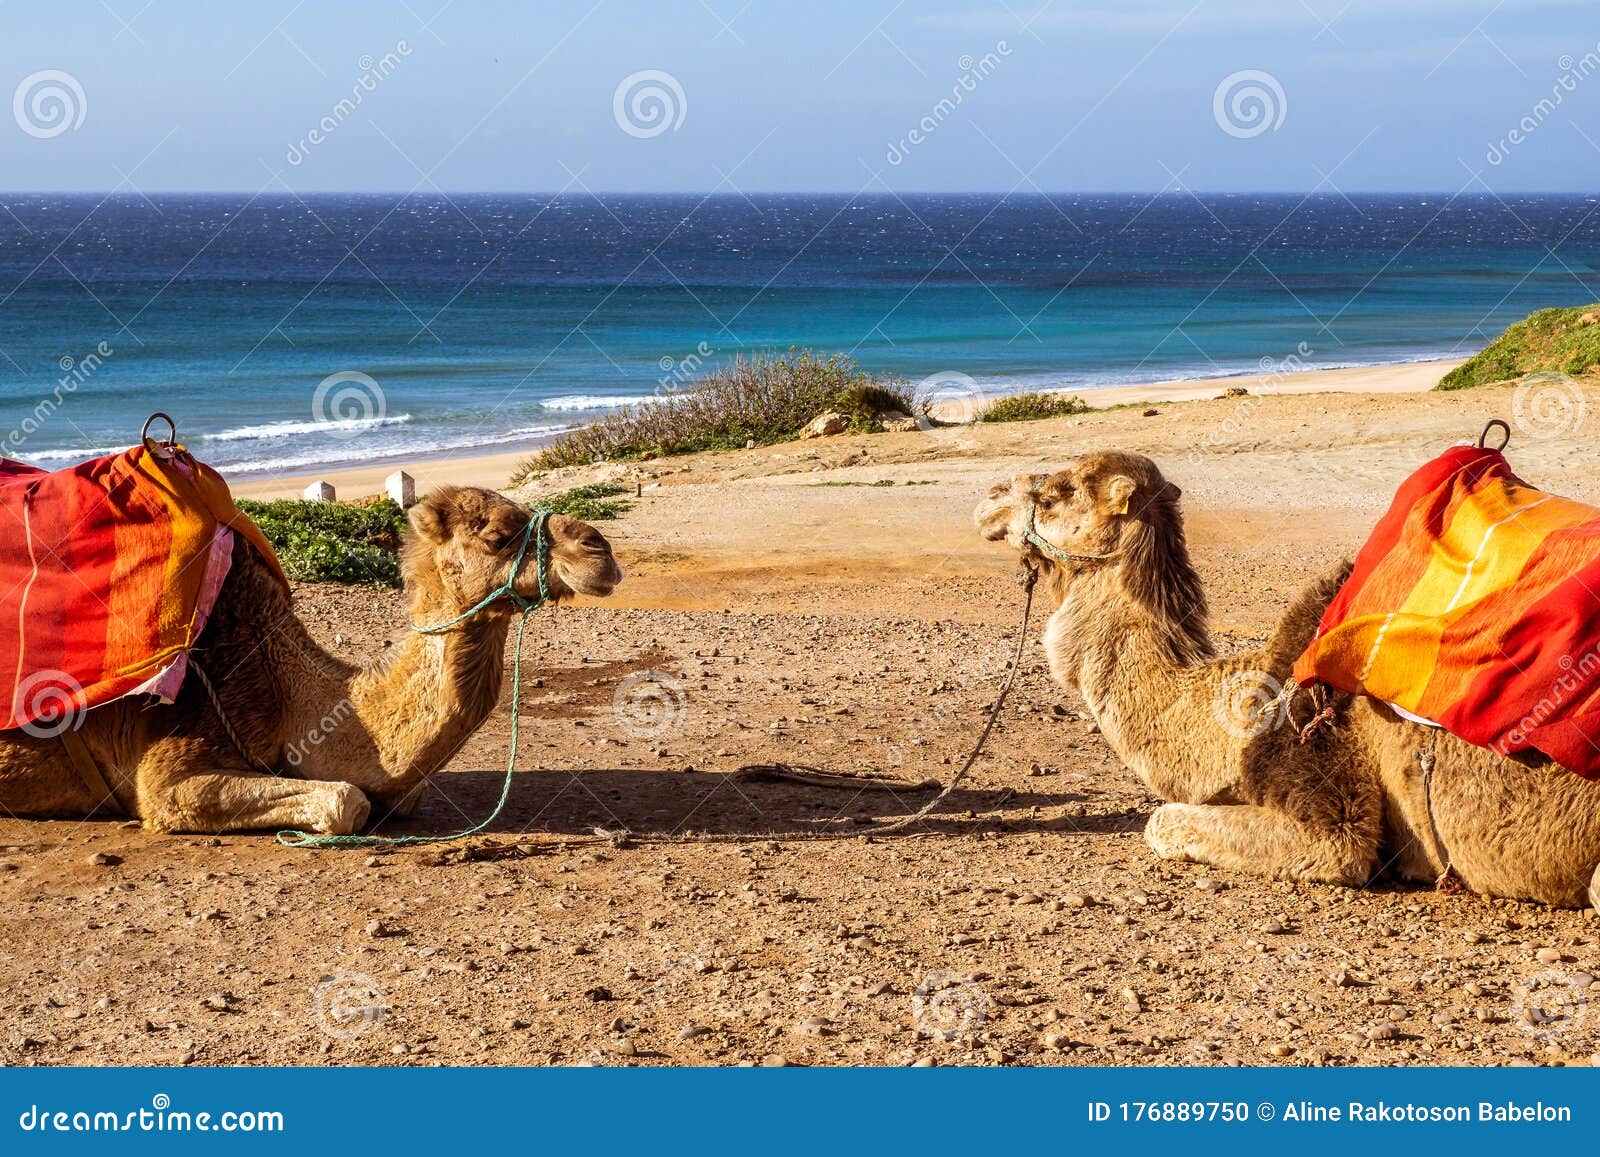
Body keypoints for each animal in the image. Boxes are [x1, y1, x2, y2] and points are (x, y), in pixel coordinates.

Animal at [0, 486, 620, 832]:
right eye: (497, 534)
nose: (601, 550)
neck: (285, 698)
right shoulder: (167, 770)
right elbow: (348, 801)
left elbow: (403, 793)